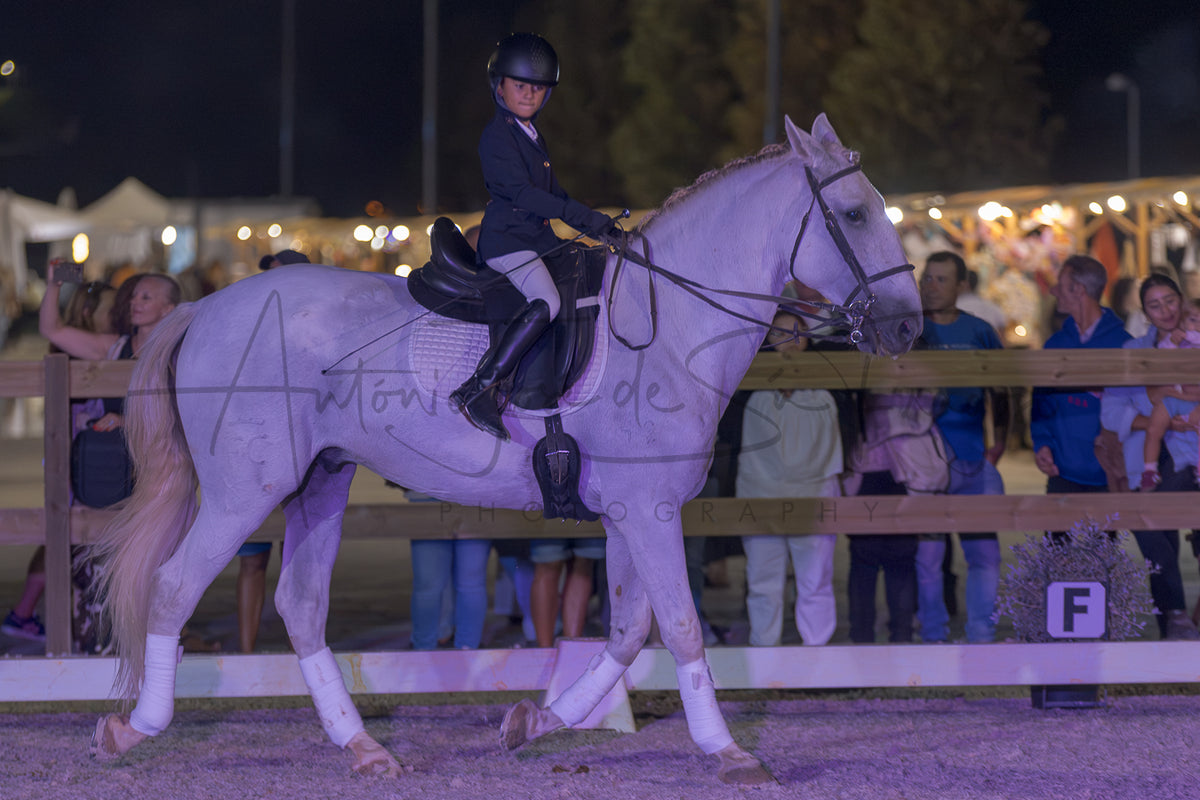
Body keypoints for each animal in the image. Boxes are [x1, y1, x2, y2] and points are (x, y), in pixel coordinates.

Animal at [89, 114, 921, 785]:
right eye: (853, 213)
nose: (909, 328)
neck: (669, 325)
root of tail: (204, 308)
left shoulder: (627, 512)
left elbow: (627, 631)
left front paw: (537, 722)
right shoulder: (648, 510)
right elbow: (680, 626)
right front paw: (729, 753)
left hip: (319, 482)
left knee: (300, 605)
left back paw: (364, 749)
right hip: (244, 492)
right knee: (174, 586)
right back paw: (134, 729)